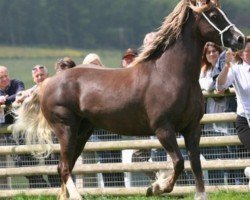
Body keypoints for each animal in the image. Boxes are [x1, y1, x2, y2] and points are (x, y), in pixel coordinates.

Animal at [12, 0, 245, 200]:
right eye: (214, 15)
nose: (241, 39)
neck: (171, 74)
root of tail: (47, 84)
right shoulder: (163, 129)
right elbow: (179, 162)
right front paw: (155, 188)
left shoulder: (193, 128)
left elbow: (195, 164)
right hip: (66, 128)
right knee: (64, 167)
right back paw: (78, 196)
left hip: (82, 132)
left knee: (64, 165)